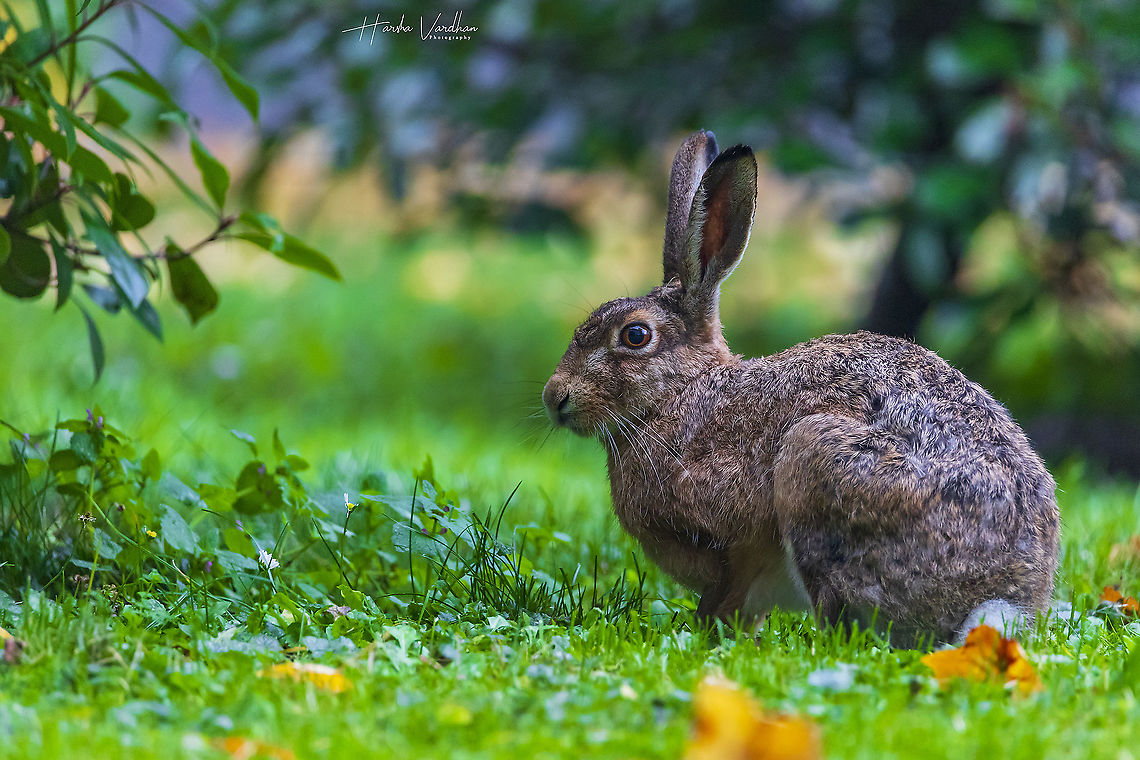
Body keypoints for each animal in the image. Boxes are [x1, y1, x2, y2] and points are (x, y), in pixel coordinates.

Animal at [541, 130, 1060, 647]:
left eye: (635, 336)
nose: (555, 397)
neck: (684, 392)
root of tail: (1006, 594)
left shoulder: (737, 540)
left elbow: (726, 597)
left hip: (814, 463)